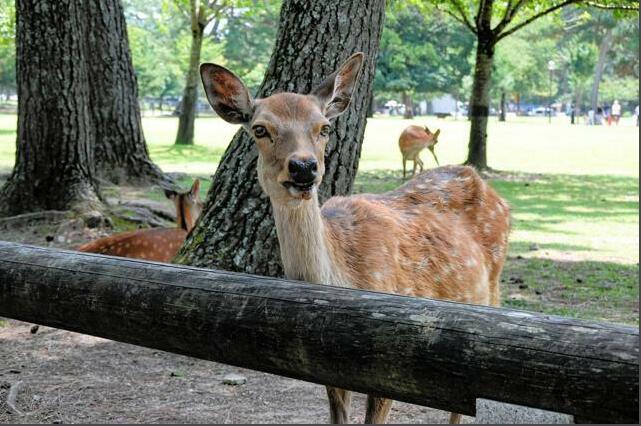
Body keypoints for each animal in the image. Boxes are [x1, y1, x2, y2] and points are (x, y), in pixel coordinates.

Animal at [200, 52, 510, 422]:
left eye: (324, 128)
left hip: (492, 295)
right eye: (260, 129)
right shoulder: (329, 371)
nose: (303, 167)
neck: (346, 278)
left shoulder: (392, 361)